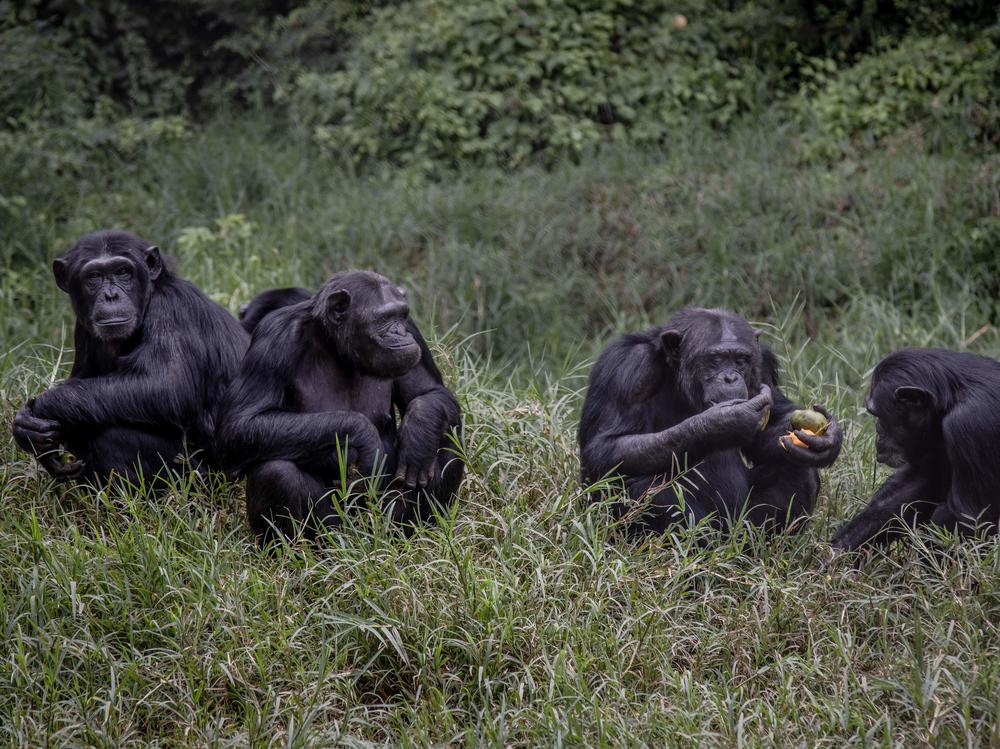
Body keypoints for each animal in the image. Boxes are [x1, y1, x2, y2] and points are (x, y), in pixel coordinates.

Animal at [11, 231, 248, 482]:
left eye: (123, 272)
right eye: (94, 276)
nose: (111, 295)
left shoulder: (172, 310)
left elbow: (168, 385)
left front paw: (42, 408)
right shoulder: (83, 329)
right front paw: (25, 428)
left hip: (205, 477)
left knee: (111, 436)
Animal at [216, 272, 464, 540]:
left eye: (401, 315)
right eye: (384, 318)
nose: (400, 331)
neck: (335, 347)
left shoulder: (414, 332)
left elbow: (429, 392)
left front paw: (418, 435)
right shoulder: (273, 338)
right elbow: (241, 424)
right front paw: (364, 436)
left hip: (383, 518)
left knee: (447, 442)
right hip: (334, 526)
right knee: (276, 472)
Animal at [580, 306, 844, 536]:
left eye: (741, 360)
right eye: (715, 360)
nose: (730, 377)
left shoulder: (763, 363)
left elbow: (771, 426)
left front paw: (829, 440)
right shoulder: (628, 368)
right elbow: (604, 447)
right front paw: (724, 423)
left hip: (743, 526)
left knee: (797, 468)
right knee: (651, 490)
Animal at [828, 346, 1000, 548]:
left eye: (875, 413)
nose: (878, 431)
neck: (952, 397)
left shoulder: (968, 424)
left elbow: (968, 518)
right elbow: (918, 484)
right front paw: (837, 550)